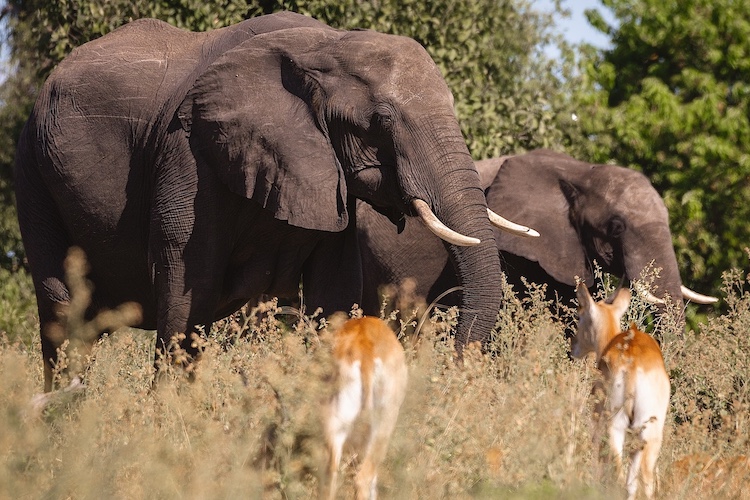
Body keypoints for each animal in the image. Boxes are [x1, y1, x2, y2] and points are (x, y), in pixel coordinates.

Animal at [15, 12, 530, 391]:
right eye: (382, 121)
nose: (452, 367)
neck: (324, 45)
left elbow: (335, 291)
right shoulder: (188, 153)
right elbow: (187, 289)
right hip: (33, 173)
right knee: (63, 320)